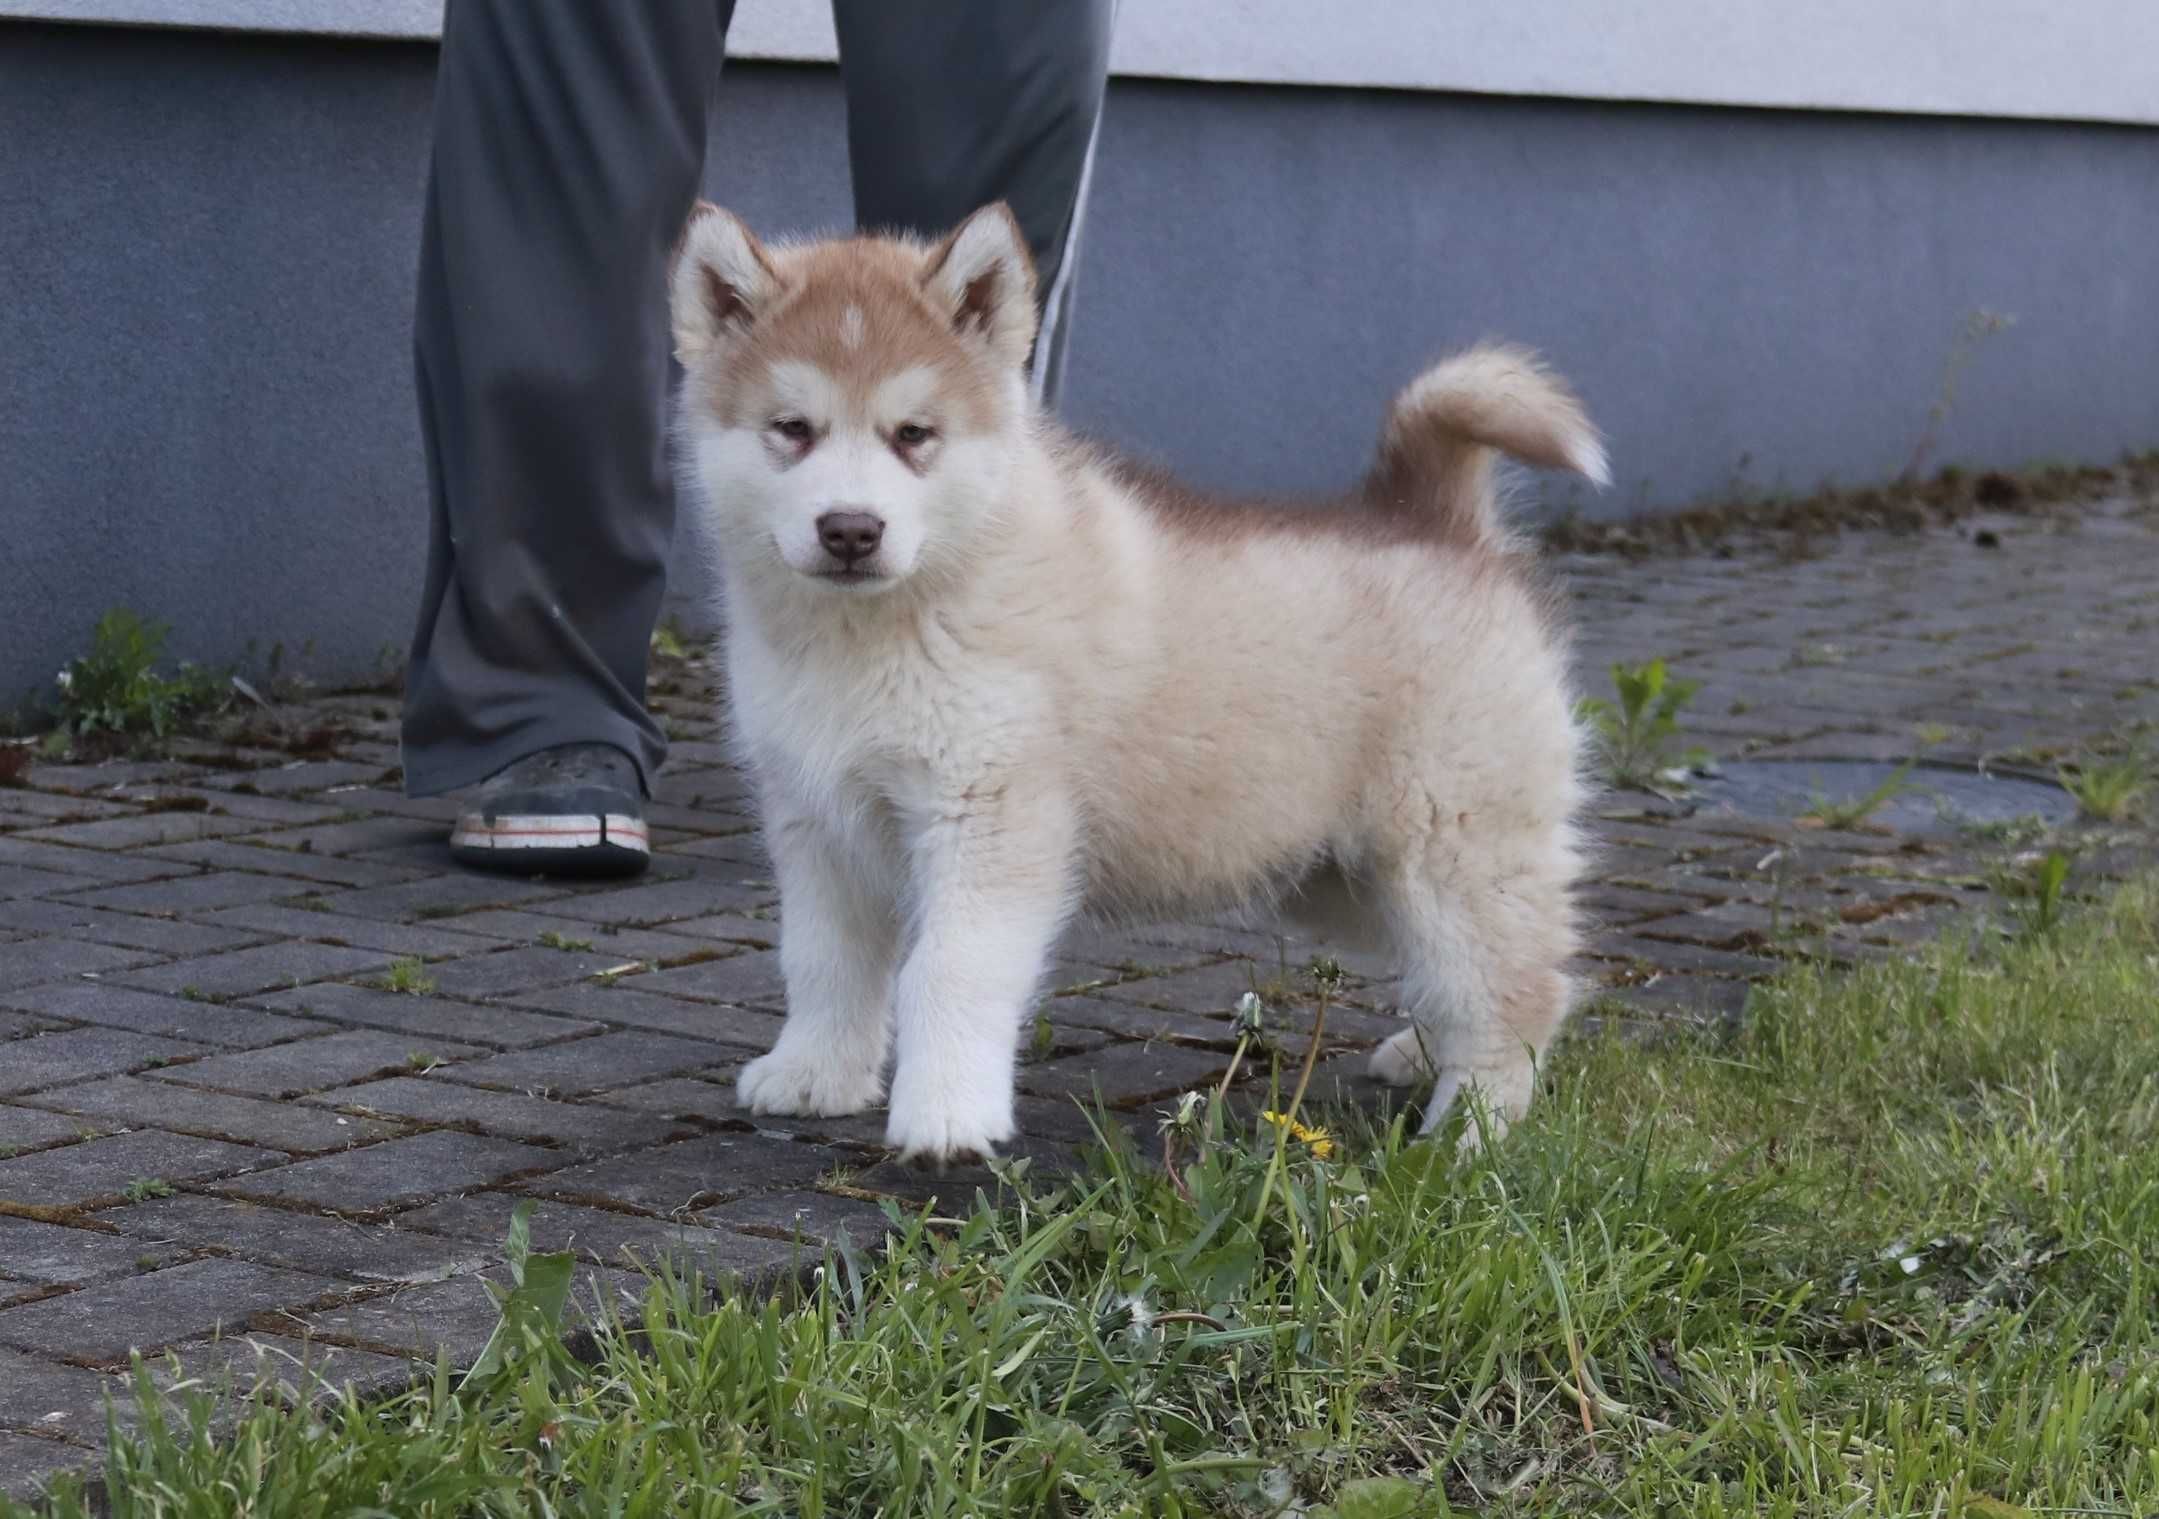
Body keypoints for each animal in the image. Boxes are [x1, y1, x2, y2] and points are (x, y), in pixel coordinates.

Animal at [673, 198, 1606, 1147]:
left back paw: (1474, 1124)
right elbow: (821, 959)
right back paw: (1424, 1053)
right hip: (1337, 872)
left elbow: (949, 968)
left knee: (1519, 980)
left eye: (913, 435)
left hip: (1447, 845)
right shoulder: (817, 820)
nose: (851, 530)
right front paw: (815, 1074)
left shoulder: (991, 818)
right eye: (793, 429)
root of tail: (1438, 523)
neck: (870, 633)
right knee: (1466, 969)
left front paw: (945, 1116)